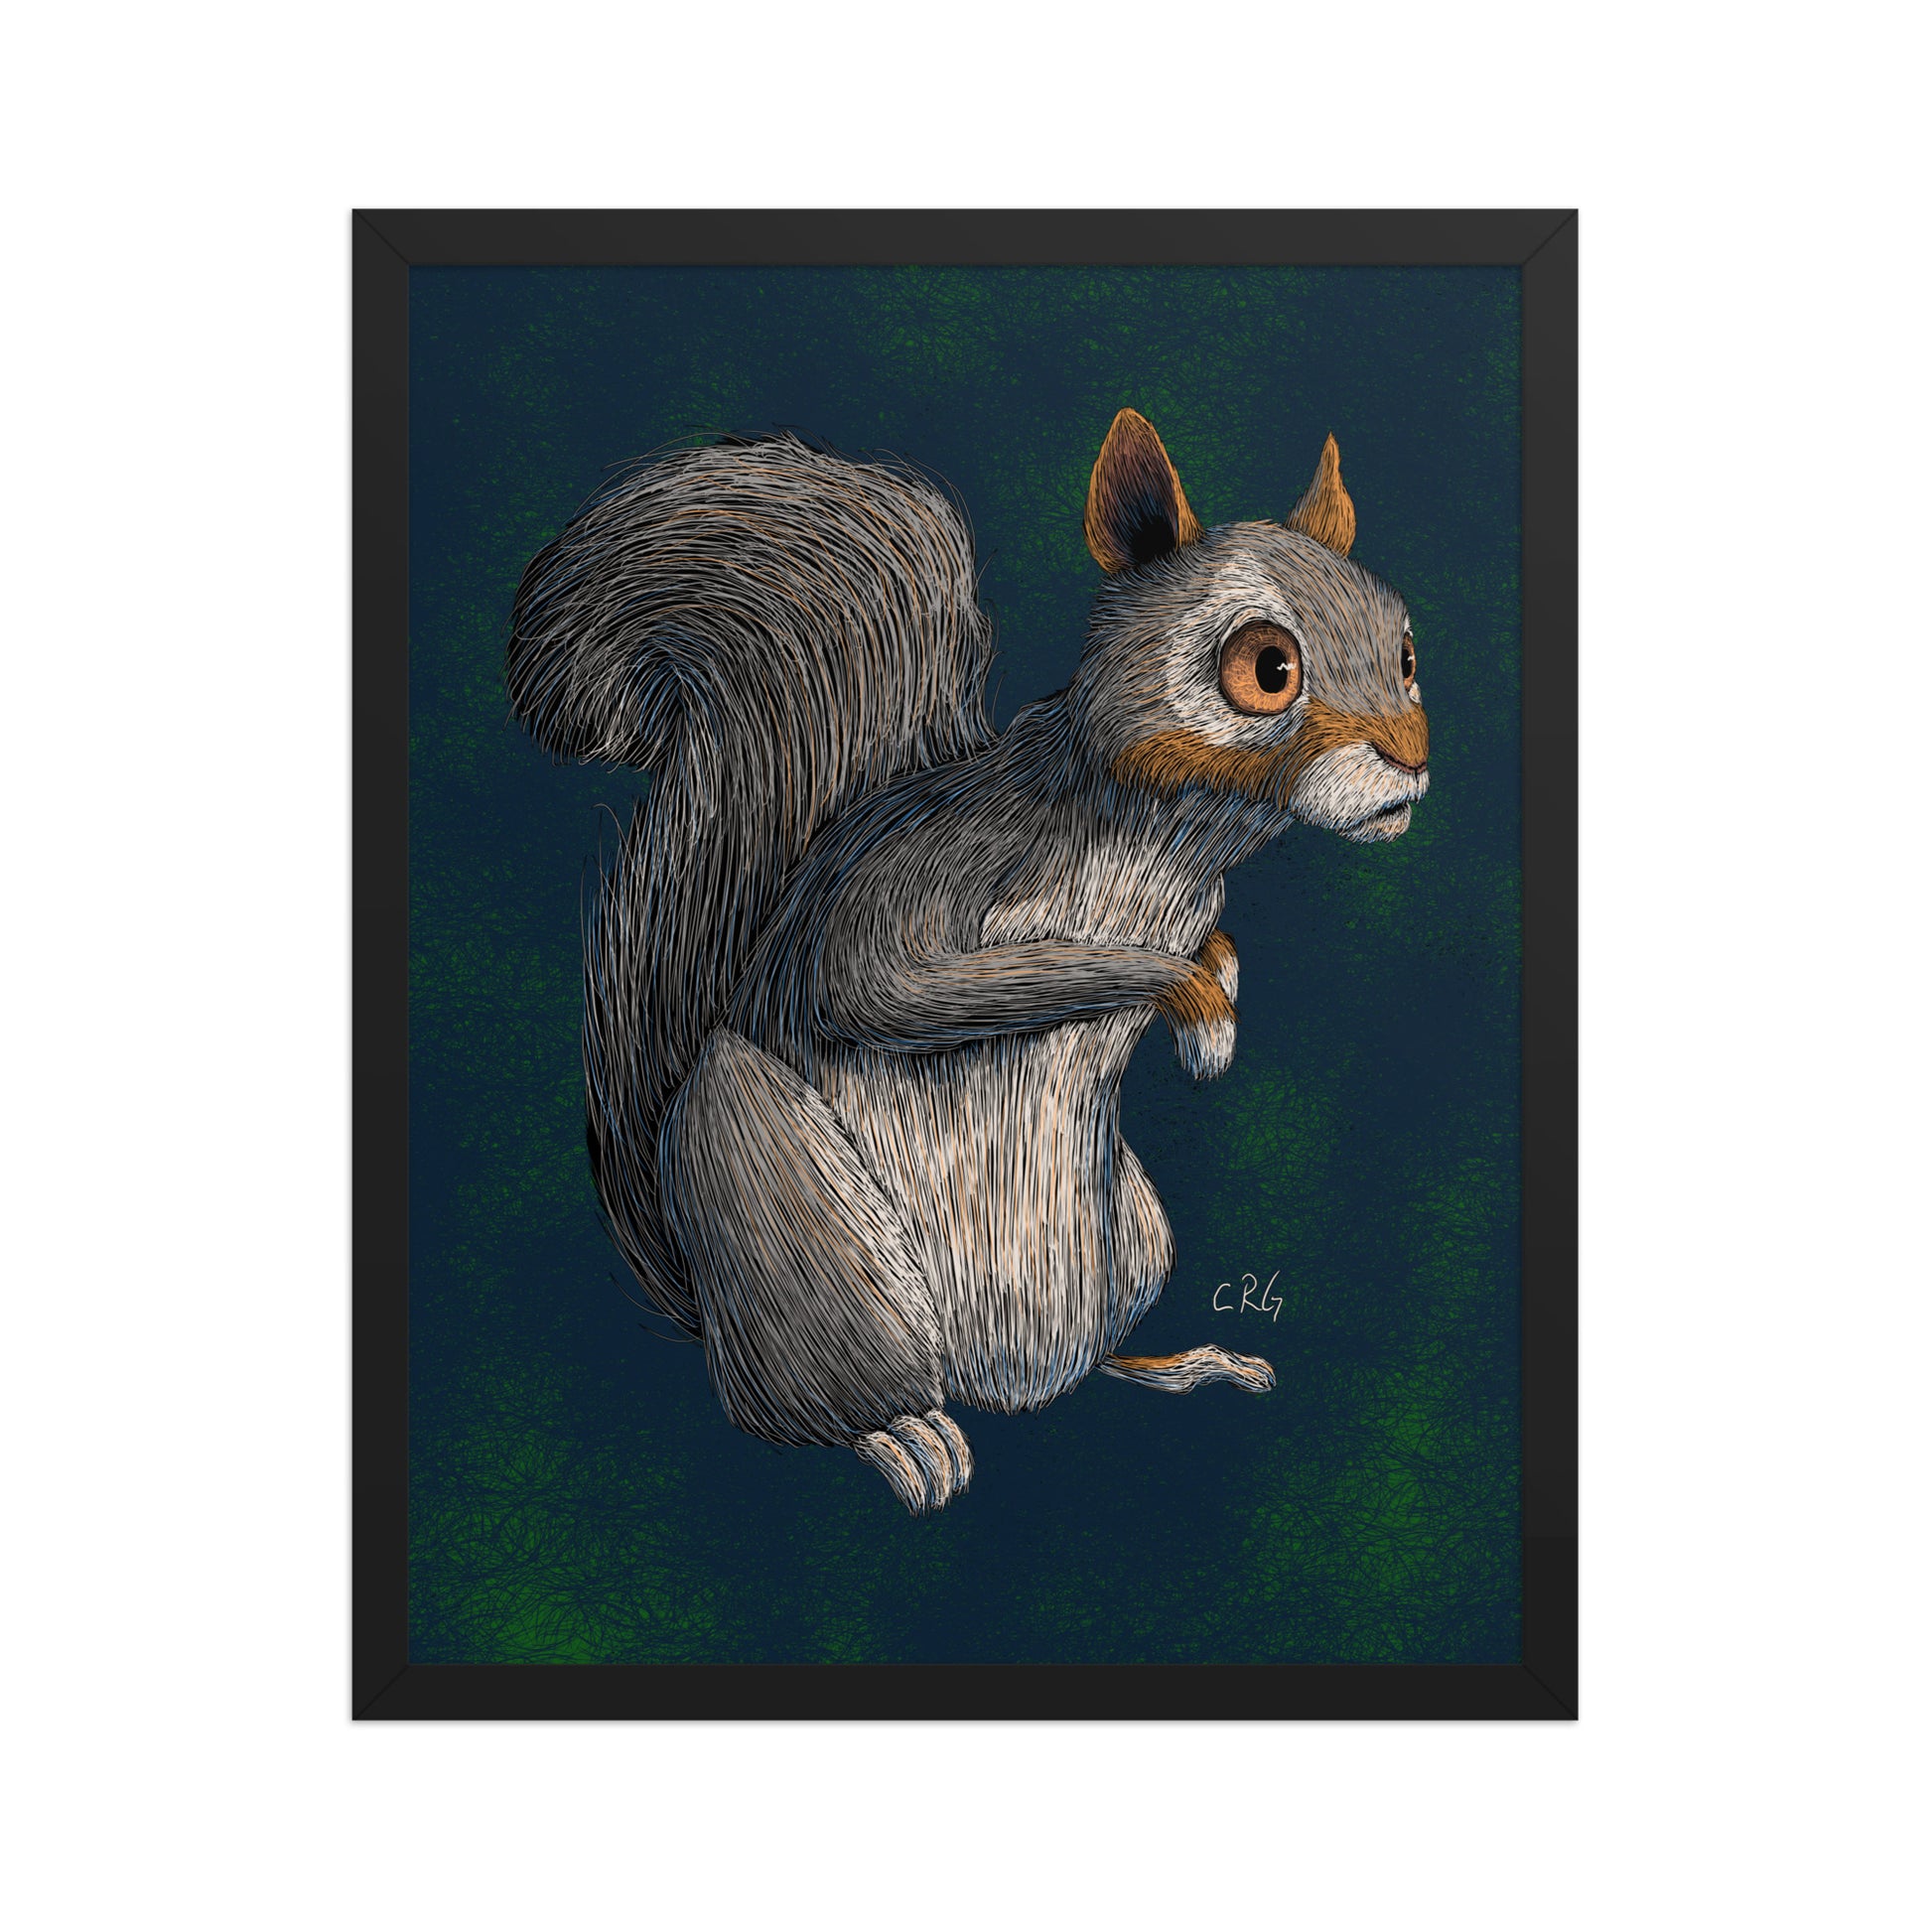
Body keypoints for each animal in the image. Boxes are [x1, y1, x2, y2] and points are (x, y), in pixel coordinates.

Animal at [506, 409, 1430, 1513]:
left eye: (1407, 649)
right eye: (1265, 667)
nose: (1411, 762)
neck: (1173, 844)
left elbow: (1213, 940)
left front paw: (1223, 998)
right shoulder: (926, 879)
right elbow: (904, 987)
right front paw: (1196, 1007)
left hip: (1134, 1235)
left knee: (1087, 1363)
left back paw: (1182, 1365)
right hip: (795, 1227)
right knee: (808, 1405)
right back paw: (901, 1437)